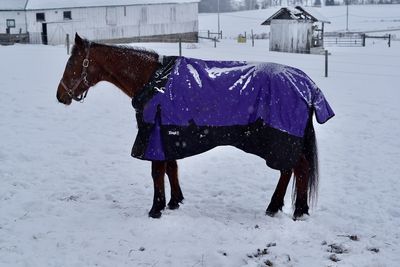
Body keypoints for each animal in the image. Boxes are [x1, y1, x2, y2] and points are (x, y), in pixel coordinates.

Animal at [55, 33, 332, 221]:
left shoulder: (155, 135)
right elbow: (171, 168)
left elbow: (157, 172)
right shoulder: (167, 134)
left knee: (299, 169)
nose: (60, 96)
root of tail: (307, 84)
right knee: (288, 171)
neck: (154, 79)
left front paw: (156, 208)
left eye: (71, 64)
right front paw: (174, 201)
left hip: (283, 140)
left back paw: (298, 211)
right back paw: (275, 207)